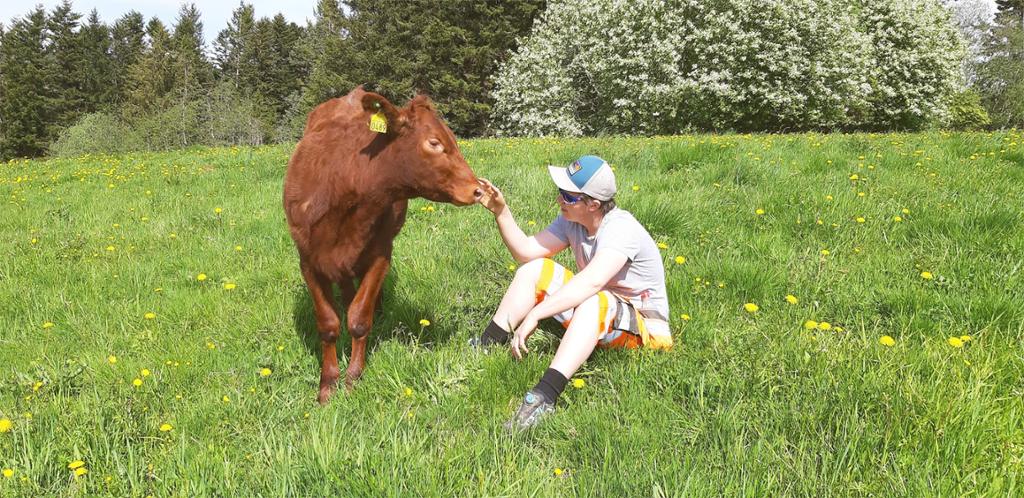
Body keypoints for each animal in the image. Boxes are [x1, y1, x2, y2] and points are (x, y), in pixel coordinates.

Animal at [282, 86, 481, 403]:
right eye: (434, 142)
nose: (477, 189)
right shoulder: (308, 260)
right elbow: (327, 324)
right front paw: (327, 385)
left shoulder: (381, 253)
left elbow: (359, 319)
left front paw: (352, 378)